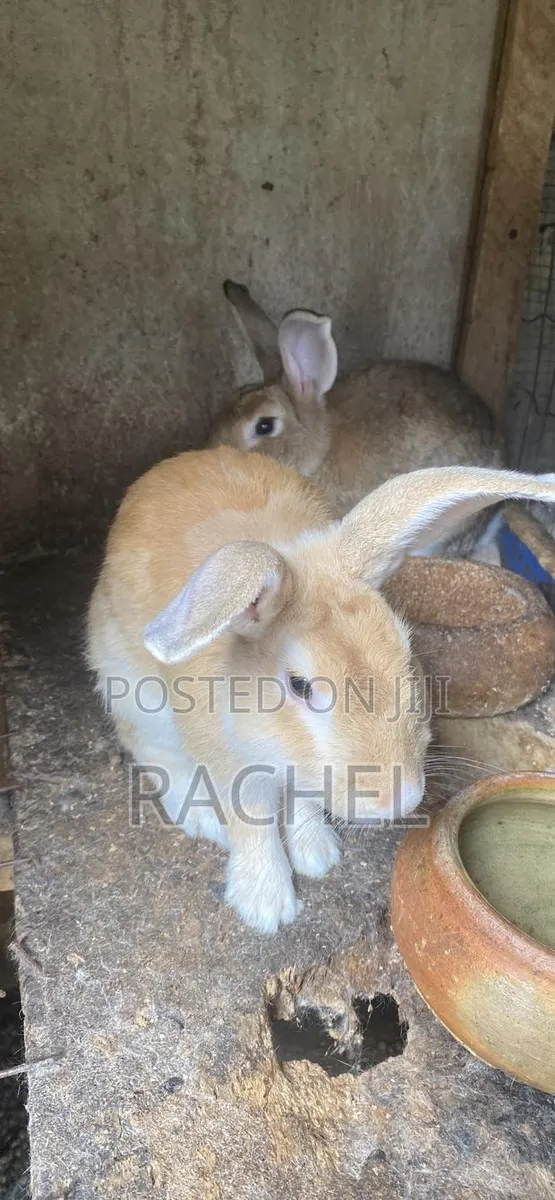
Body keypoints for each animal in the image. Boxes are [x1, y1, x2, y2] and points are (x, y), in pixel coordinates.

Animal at [86, 444, 555, 934]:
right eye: (300, 685)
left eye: (406, 649)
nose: (400, 797)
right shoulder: (232, 769)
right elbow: (253, 828)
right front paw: (266, 908)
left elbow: (303, 806)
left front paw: (319, 858)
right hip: (136, 701)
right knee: (159, 759)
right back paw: (201, 820)